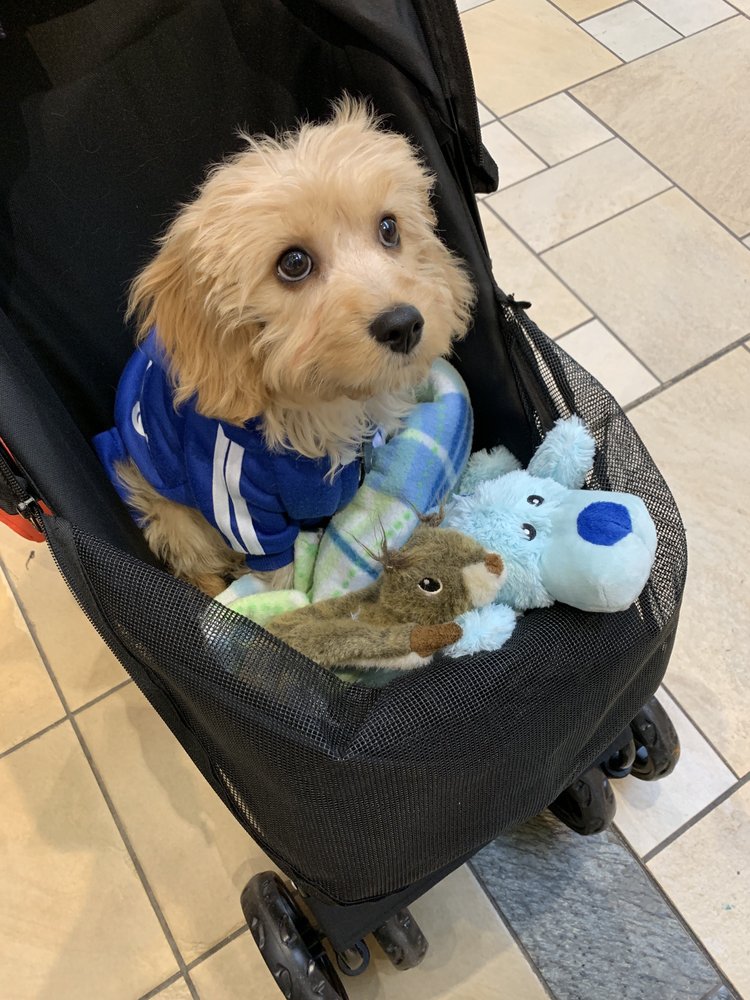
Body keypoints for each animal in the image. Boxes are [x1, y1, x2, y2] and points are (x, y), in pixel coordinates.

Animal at [94, 97, 474, 596]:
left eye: (389, 228)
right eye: (293, 263)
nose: (404, 325)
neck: (322, 405)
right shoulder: (242, 503)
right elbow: (281, 574)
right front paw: (289, 605)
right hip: (168, 510)